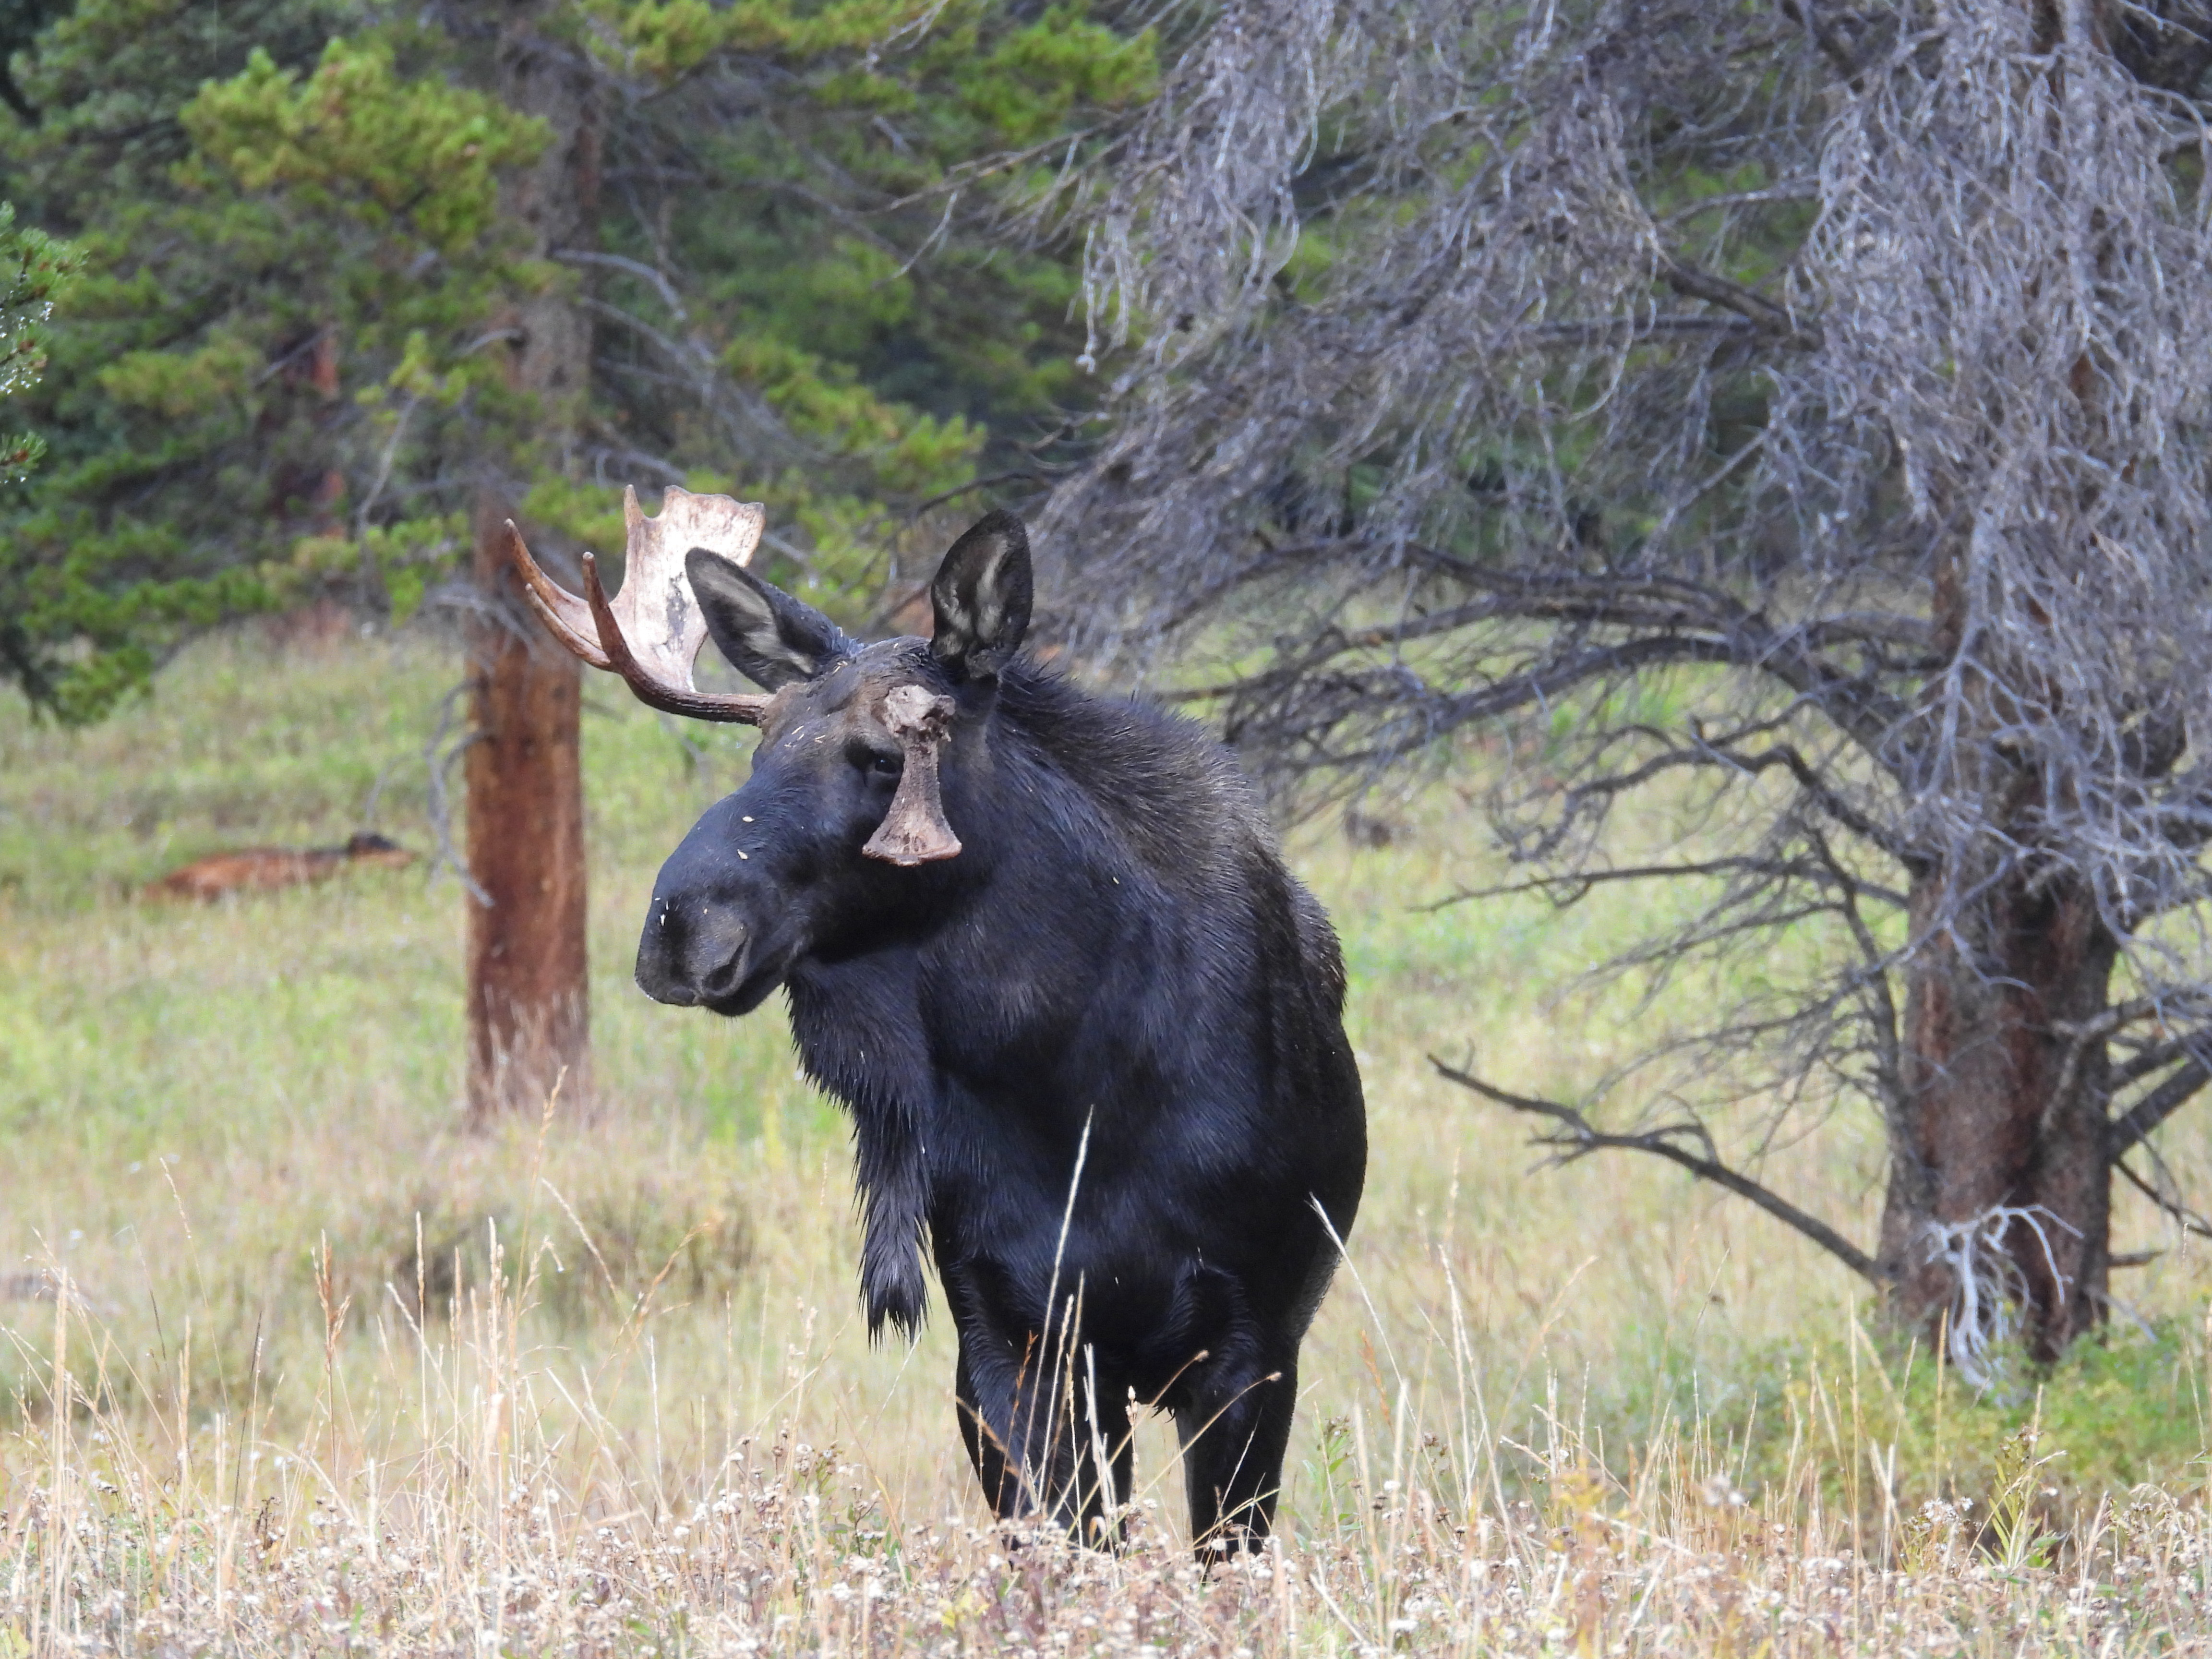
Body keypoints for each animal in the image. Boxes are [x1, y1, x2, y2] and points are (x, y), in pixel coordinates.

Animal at [506, 486, 1362, 1557]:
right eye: (759, 749)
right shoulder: (1007, 1342)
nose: (679, 927)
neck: (1079, 1088)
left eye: (884, 757)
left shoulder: (1251, 1343)